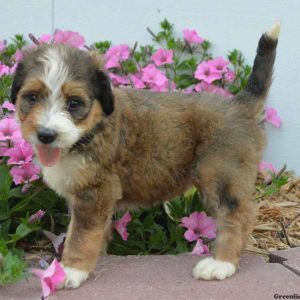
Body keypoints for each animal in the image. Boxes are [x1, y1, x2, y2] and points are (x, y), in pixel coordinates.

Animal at [11, 24, 278, 288]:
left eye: (74, 103)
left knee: (236, 217)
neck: (90, 131)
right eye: (32, 97)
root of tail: (239, 105)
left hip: (221, 176)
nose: (46, 135)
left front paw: (70, 271)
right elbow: (93, 231)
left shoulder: (95, 193)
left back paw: (221, 264)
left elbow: (80, 235)